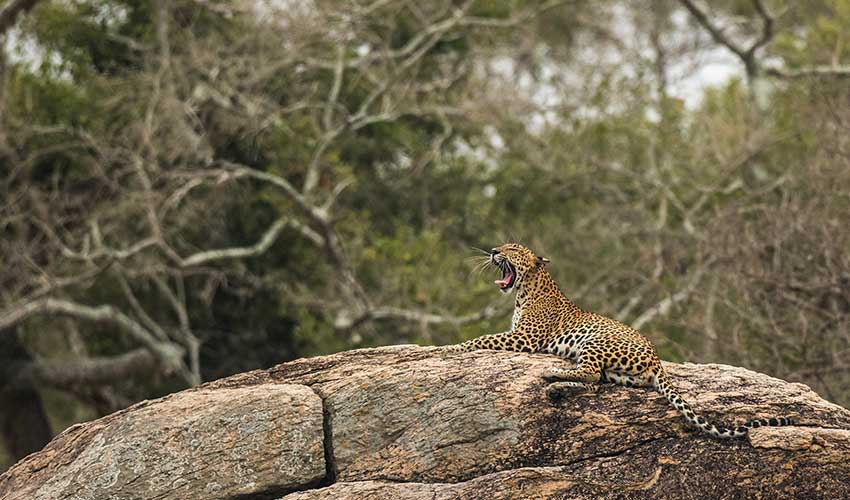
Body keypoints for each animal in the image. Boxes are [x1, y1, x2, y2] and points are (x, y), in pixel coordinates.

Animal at [444, 242, 796, 438]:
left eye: (513, 249)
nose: (493, 251)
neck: (525, 289)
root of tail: (657, 362)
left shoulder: (526, 337)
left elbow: (482, 338)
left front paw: (448, 348)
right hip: (618, 373)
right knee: (595, 381)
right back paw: (557, 386)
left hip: (595, 341)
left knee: (589, 374)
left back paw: (551, 376)